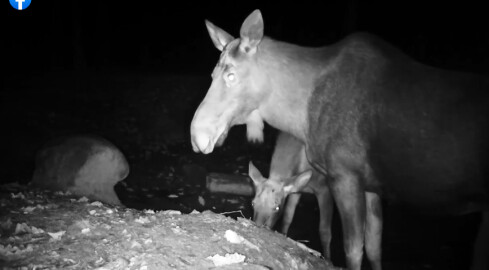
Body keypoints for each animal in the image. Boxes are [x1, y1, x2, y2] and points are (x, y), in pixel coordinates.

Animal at [191, 9, 488, 270]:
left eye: (231, 75)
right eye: (212, 74)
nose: (197, 134)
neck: (300, 117)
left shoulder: (345, 177)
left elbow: (352, 249)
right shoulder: (371, 186)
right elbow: (375, 246)